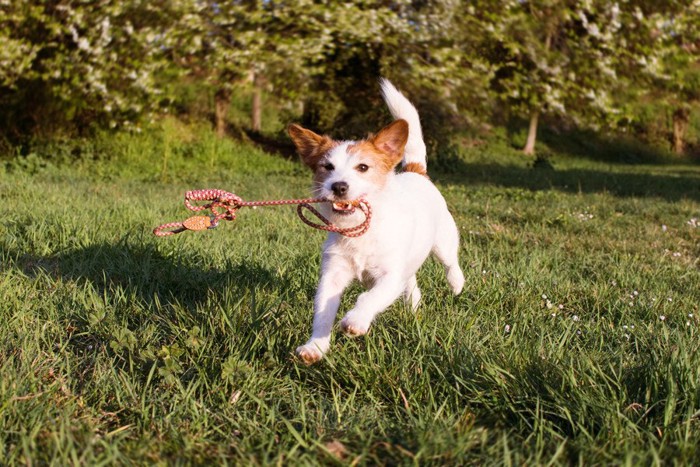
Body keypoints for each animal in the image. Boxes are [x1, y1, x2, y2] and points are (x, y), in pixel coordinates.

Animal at [288, 81, 462, 366]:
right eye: (327, 167)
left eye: (363, 167)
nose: (338, 186)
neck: (361, 230)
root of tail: (415, 171)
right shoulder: (332, 275)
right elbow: (323, 313)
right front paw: (315, 346)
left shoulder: (389, 276)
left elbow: (370, 297)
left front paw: (356, 320)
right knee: (412, 285)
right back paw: (414, 306)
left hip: (443, 242)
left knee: (451, 263)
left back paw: (457, 283)